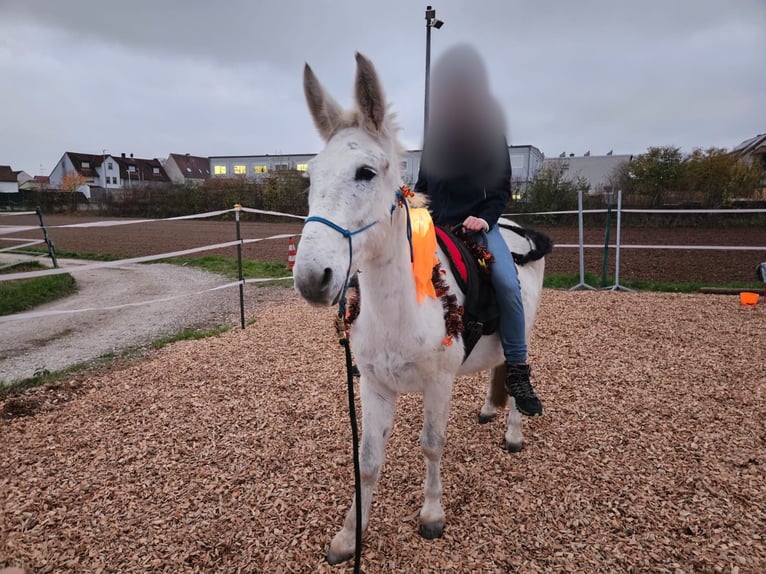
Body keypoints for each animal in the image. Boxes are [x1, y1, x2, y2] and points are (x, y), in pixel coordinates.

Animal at [293, 53, 549, 564]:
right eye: (311, 175)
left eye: (366, 173)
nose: (312, 277)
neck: (400, 309)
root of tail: (515, 229)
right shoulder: (374, 386)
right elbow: (368, 462)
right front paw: (350, 535)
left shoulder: (437, 384)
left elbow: (431, 446)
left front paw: (432, 514)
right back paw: (490, 409)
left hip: (523, 331)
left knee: (515, 369)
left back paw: (513, 430)